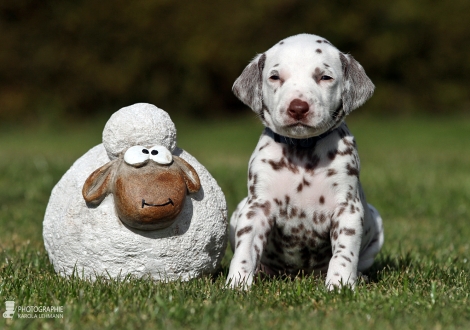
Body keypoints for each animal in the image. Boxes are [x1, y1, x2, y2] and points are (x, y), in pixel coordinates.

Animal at [226, 34, 384, 290]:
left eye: (325, 77)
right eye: (275, 77)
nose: (298, 107)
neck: (302, 151)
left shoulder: (348, 209)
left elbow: (344, 252)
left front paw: (339, 285)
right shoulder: (257, 209)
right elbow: (245, 249)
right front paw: (237, 284)